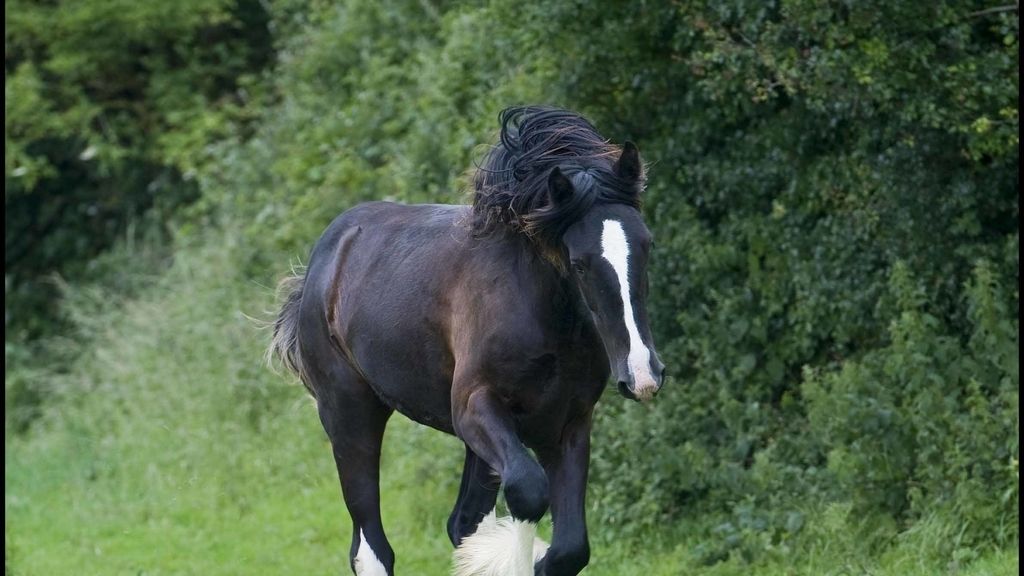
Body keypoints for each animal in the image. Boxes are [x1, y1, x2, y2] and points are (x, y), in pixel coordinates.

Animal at [268, 106, 665, 576]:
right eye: (580, 263)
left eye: (646, 244)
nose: (642, 375)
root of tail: (323, 261)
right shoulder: (475, 405)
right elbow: (528, 491)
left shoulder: (566, 424)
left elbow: (569, 549)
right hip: (349, 414)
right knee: (370, 547)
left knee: (461, 521)